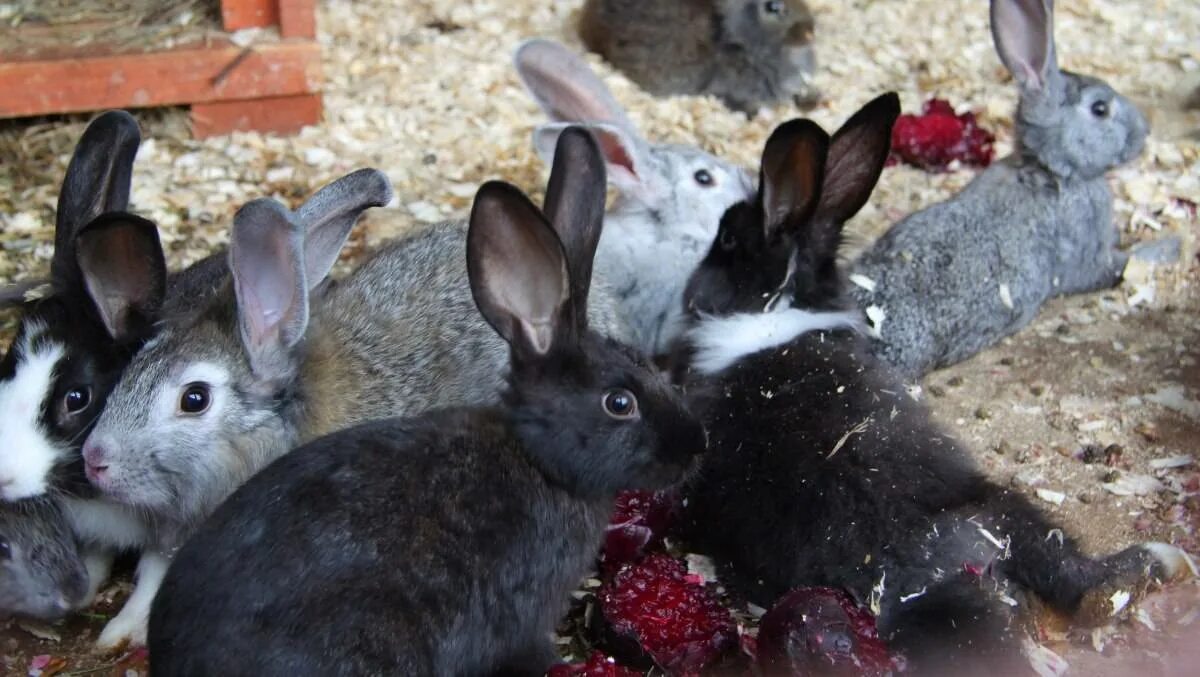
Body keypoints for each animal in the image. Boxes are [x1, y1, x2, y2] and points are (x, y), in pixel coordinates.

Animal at [672, 91, 1195, 672]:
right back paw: (1162, 564)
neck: (774, 312)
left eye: (726, 238)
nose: (688, 292)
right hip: (1011, 510)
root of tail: (935, 573)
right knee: (1088, 586)